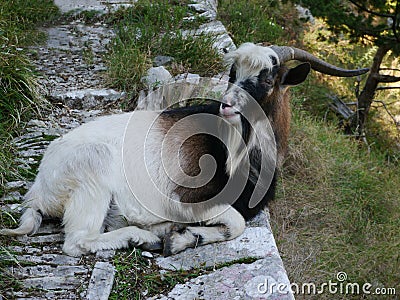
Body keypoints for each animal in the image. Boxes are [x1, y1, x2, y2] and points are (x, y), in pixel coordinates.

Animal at [0, 43, 368, 256]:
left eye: (268, 77)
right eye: (233, 72)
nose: (227, 105)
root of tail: (39, 190)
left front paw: (180, 235)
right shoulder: (186, 200)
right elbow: (236, 224)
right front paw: (181, 238)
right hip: (91, 178)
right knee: (77, 242)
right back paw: (140, 237)